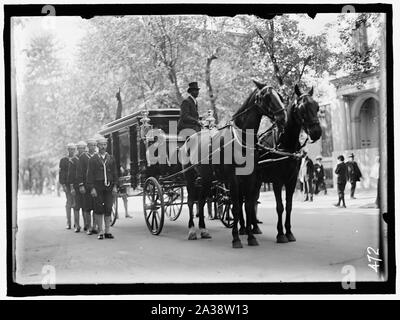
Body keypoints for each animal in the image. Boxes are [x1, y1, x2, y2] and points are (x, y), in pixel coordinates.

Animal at [180, 80, 286, 248]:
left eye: (279, 95)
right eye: (267, 96)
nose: (283, 117)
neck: (241, 140)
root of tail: (189, 140)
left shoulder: (251, 178)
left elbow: (248, 206)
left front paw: (251, 237)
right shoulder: (233, 179)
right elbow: (236, 207)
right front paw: (236, 238)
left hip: (206, 178)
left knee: (202, 201)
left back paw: (203, 229)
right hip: (189, 176)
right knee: (191, 201)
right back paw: (192, 230)